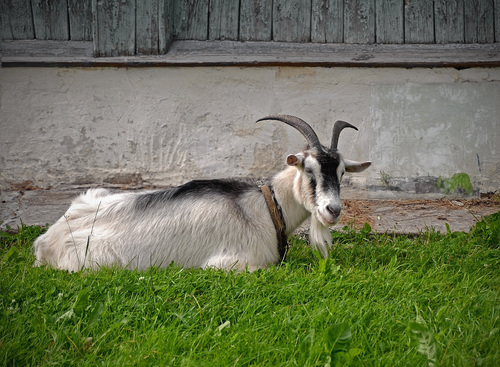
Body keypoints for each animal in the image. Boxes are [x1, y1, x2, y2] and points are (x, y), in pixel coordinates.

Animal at [33, 115, 372, 274]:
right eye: (309, 170)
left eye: (342, 173)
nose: (332, 211)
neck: (264, 207)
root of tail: (47, 241)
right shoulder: (229, 264)